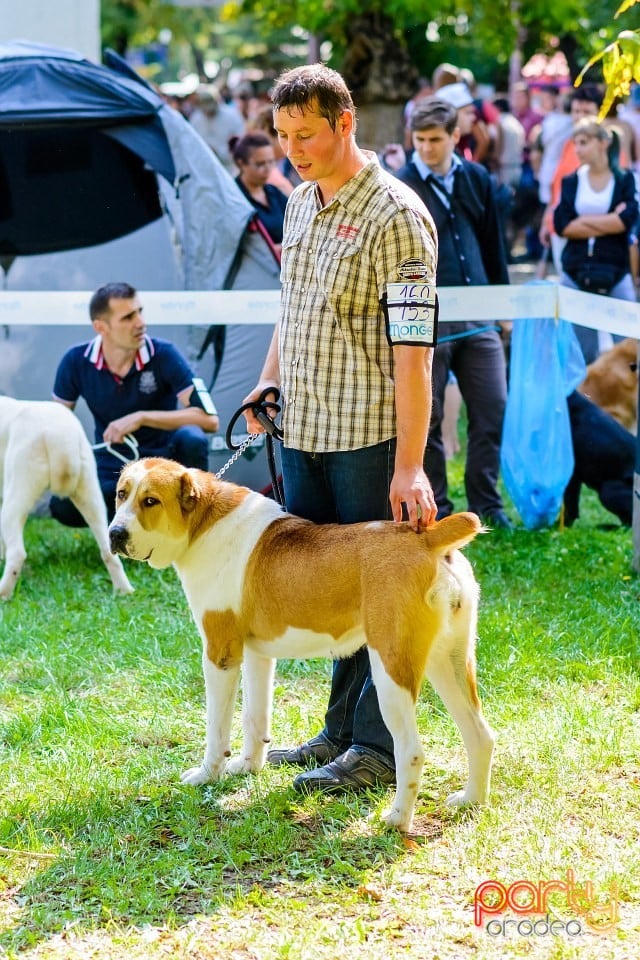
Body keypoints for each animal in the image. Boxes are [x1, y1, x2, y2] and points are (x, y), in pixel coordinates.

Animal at [0, 398, 132, 600]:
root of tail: (60, 434)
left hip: (17, 494)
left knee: (17, 554)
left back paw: (4, 594)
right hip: (91, 496)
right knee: (107, 549)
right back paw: (124, 590)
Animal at [109, 458, 496, 832]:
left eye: (150, 501)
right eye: (120, 494)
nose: (114, 534)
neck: (204, 522)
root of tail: (427, 538)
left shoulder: (220, 654)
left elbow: (216, 729)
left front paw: (207, 775)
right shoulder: (256, 655)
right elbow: (254, 717)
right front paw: (248, 766)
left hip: (390, 669)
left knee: (412, 751)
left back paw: (397, 820)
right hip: (448, 663)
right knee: (480, 735)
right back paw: (470, 801)